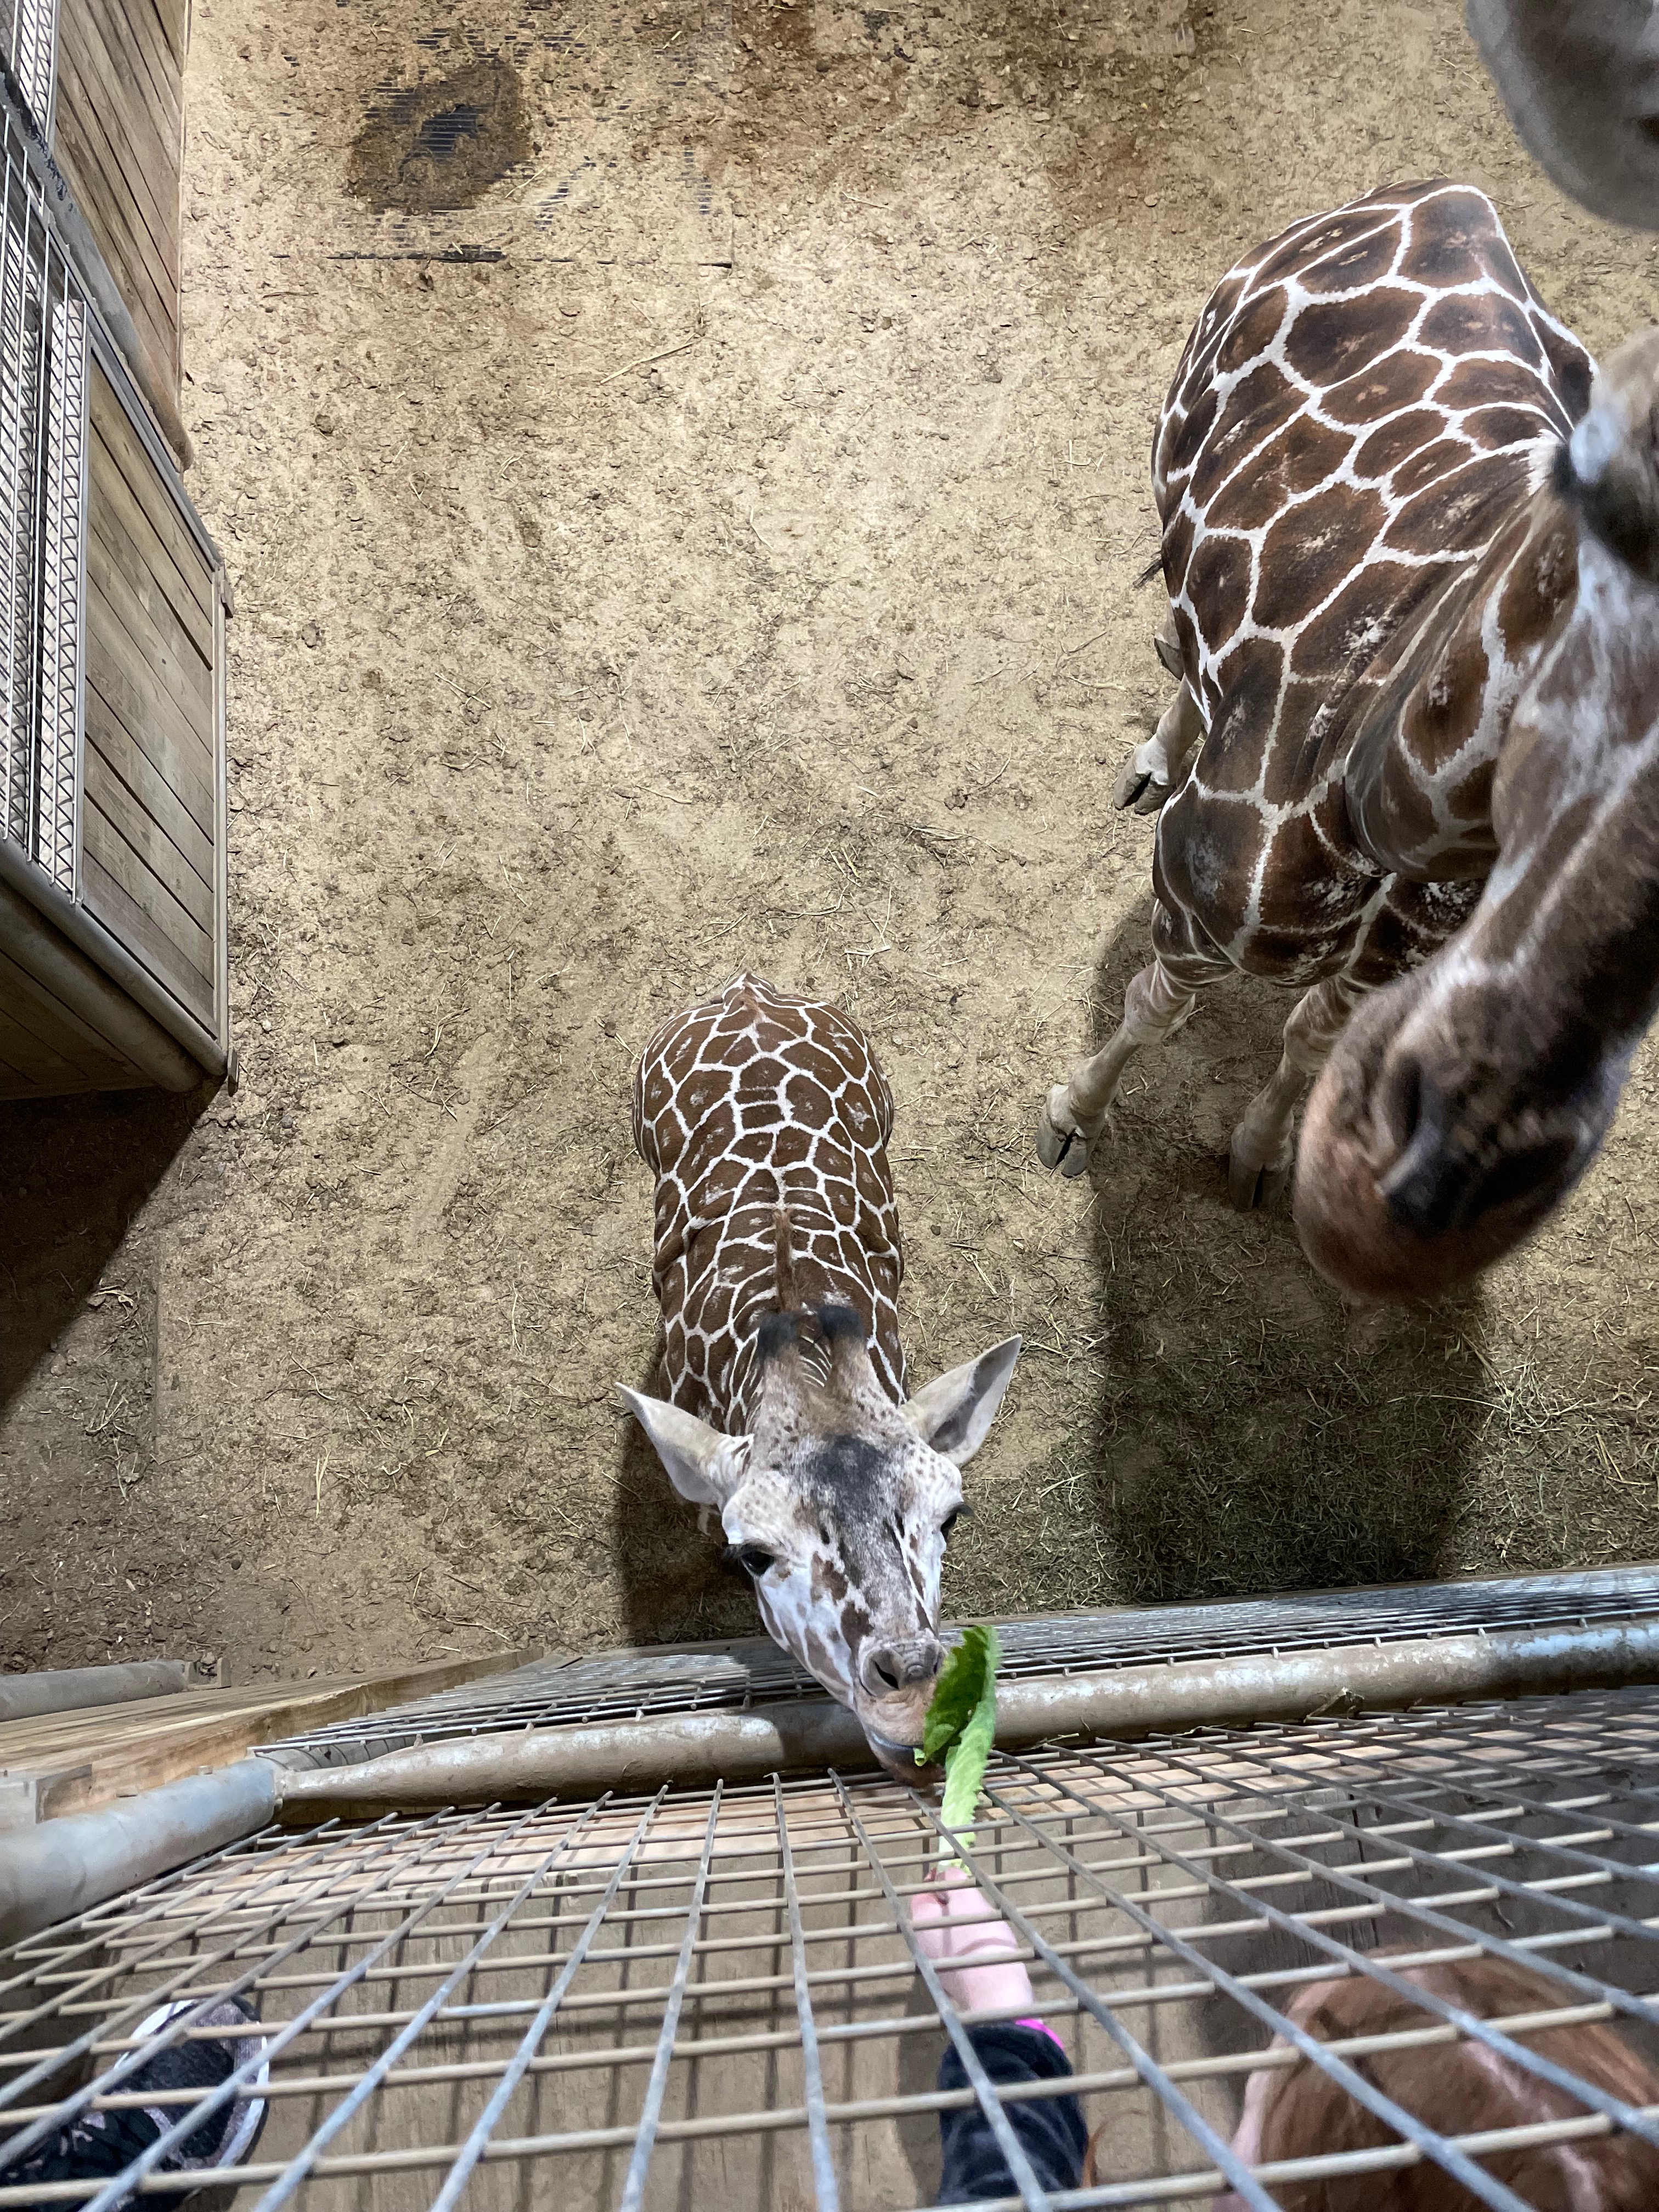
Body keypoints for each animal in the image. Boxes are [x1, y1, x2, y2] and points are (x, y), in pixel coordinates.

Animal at [1037, 180, 1659, 1301]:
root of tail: (1443, 193)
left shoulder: (1376, 974)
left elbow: (1304, 1042)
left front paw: (1255, 1157)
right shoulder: (1191, 909)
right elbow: (1151, 1009)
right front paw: (1072, 1117)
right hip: (1166, 459)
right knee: (1172, 629)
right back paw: (1153, 762)